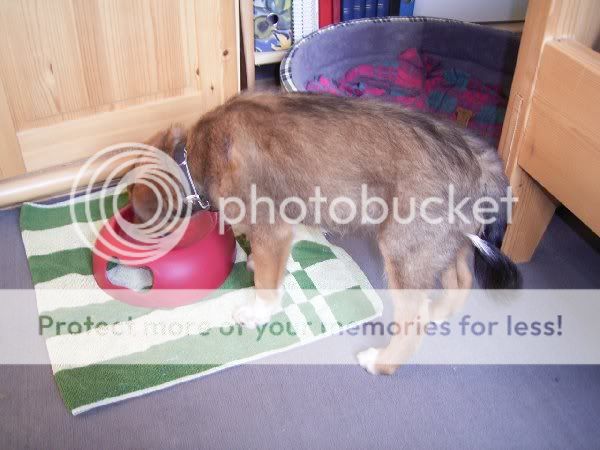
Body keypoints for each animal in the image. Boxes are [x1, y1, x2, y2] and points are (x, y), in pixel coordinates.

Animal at [130, 92, 521, 374]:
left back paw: (381, 362)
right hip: (445, 242)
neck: (193, 156)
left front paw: (257, 312)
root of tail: (479, 157)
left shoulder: (272, 227)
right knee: (462, 279)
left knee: (415, 319)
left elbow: (267, 285)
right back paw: (441, 311)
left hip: (404, 249)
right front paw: (256, 263)